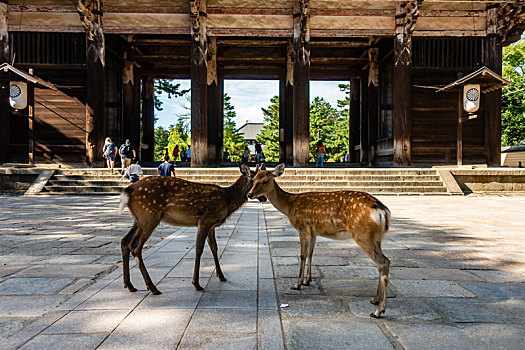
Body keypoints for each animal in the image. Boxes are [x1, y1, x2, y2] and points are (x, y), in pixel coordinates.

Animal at [120, 163, 264, 292]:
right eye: (256, 181)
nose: (263, 197)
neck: (228, 201)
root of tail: (128, 191)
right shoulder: (205, 220)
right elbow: (199, 249)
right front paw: (196, 283)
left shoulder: (212, 225)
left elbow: (214, 247)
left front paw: (221, 276)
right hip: (149, 215)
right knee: (135, 246)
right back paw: (152, 287)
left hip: (138, 219)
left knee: (125, 241)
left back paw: (129, 285)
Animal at [248, 164, 390, 318]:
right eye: (253, 179)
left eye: (265, 181)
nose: (249, 194)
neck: (289, 206)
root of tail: (383, 211)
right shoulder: (313, 231)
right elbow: (311, 254)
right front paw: (307, 280)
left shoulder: (302, 227)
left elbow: (302, 255)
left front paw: (297, 284)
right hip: (376, 238)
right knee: (382, 263)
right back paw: (375, 300)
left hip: (362, 234)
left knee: (383, 262)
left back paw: (378, 311)